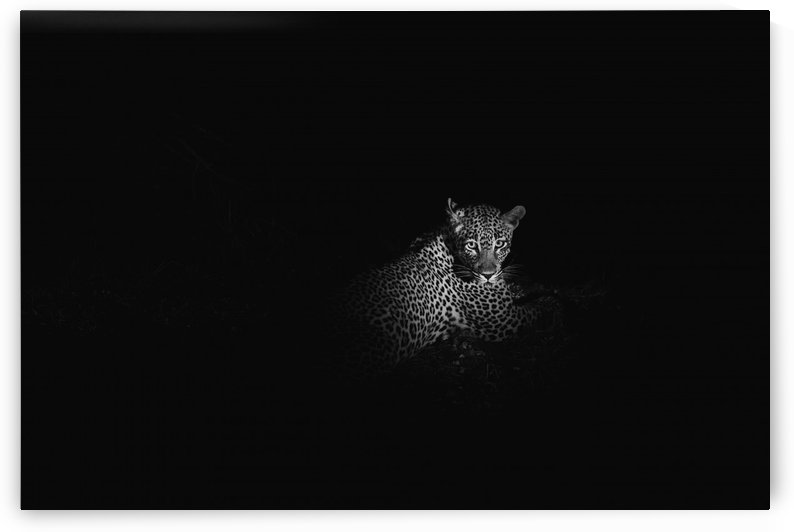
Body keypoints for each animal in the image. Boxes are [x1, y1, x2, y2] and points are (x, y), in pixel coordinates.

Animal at [327, 198, 558, 381]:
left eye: (499, 244)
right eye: (472, 245)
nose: (488, 274)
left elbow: (523, 291)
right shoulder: (505, 321)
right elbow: (539, 307)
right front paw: (556, 300)